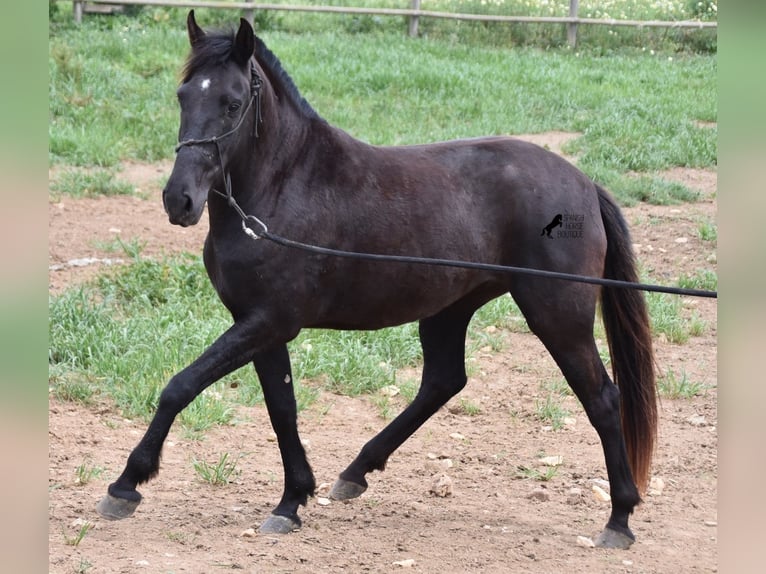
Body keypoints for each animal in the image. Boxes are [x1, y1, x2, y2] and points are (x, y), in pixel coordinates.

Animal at [99, 12, 656, 552]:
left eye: (233, 102)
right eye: (183, 95)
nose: (180, 200)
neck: (282, 187)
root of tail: (584, 184)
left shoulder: (268, 322)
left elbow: (180, 386)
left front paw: (127, 485)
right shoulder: (261, 325)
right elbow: (282, 409)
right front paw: (292, 501)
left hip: (557, 315)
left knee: (603, 399)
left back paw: (619, 519)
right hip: (450, 308)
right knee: (443, 381)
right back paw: (355, 472)